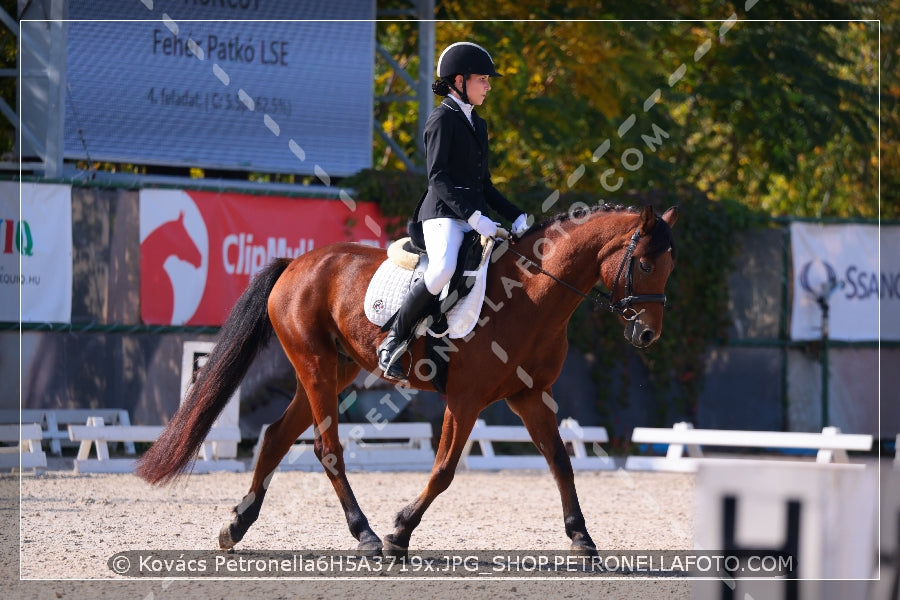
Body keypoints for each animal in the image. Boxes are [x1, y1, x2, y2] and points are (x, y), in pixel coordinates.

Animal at [137, 203, 680, 556]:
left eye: (669, 267)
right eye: (645, 264)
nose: (648, 334)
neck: (531, 292)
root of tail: (297, 263)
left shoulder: (530, 396)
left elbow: (561, 463)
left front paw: (582, 538)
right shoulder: (465, 399)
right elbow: (443, 471)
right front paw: (401, 531)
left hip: (336, 369)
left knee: (274, 437)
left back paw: (237, 526)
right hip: (314, 364)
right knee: (326, 448)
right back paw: (366, 535)